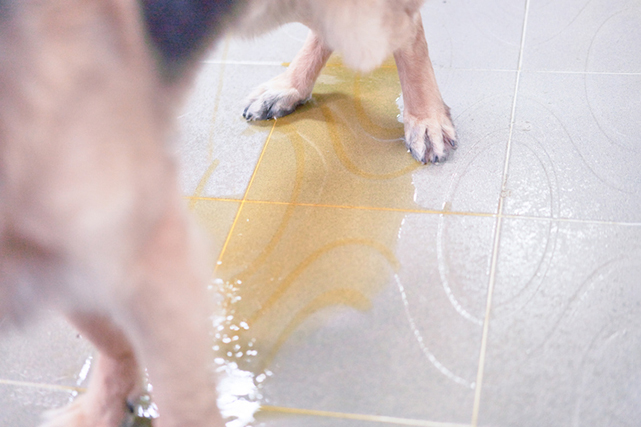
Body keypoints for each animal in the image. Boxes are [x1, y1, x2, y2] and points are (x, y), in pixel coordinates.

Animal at [0, 0, 450, 427]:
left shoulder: (154, 260)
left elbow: (181, 401)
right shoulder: (72, 269)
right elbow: (110, 339)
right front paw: (105, 407)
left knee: (409, 29)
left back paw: (423, 115)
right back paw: (289, 87)